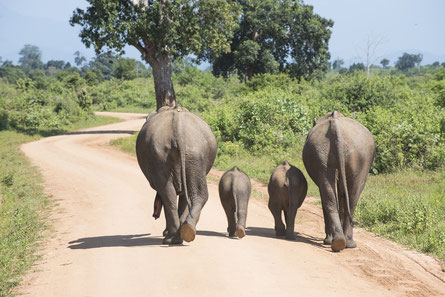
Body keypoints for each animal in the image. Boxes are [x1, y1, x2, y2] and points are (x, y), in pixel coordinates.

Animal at [137, 105, 217, 244]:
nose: (154, 215)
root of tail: (178, 128)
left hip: (166, 155)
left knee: (168, 193)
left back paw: (172, 237)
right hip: (188, 154)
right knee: (187, 194)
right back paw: (184, 233)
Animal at [302, 110, 374, 250]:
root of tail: (336, 127)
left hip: (330, 152)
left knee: (333, 194)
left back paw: (337, 241)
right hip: (339, 154)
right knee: (351, 195)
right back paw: (344, 242)